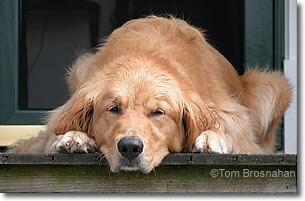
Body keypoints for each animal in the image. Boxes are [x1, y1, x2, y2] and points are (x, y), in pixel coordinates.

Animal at [8, 16, 290, 173]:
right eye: (113, 109)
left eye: (158, 112)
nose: (130, 148)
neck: (146, 55)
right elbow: (54, 132)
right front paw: (75, 136)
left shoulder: (233, 115)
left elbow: (228, 126)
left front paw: (212, 138)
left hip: (274, 85)